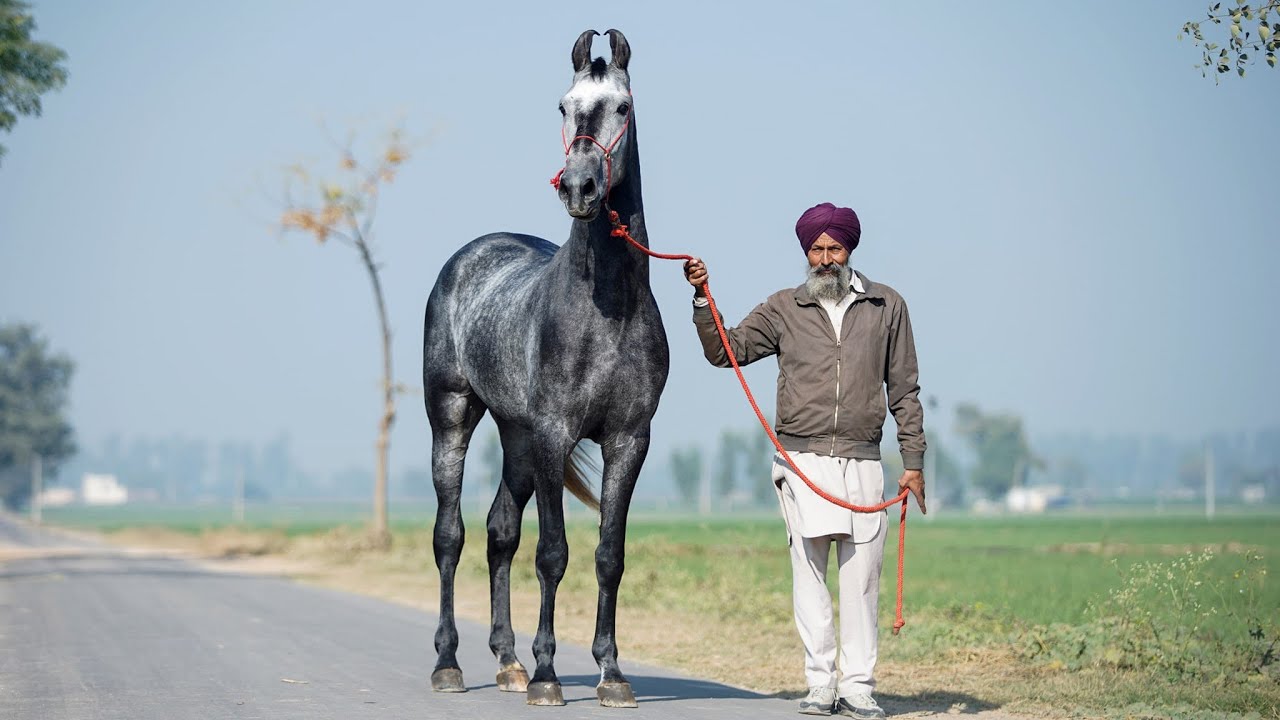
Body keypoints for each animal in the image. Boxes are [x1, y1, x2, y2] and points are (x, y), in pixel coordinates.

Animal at [423, 29, 668, 708]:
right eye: (564, 105)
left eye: (623, 107)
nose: (579, 188)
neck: (605, 308)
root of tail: (471, 254)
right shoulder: (557, 435)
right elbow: (553, 553)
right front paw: (548, 676)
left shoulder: (627, 441)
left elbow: (608, 554)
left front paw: (611, 674)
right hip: (453, 417)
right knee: (450, 535)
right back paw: (449, 665)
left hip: (517, 436)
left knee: (499, 530)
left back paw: (506, 662)